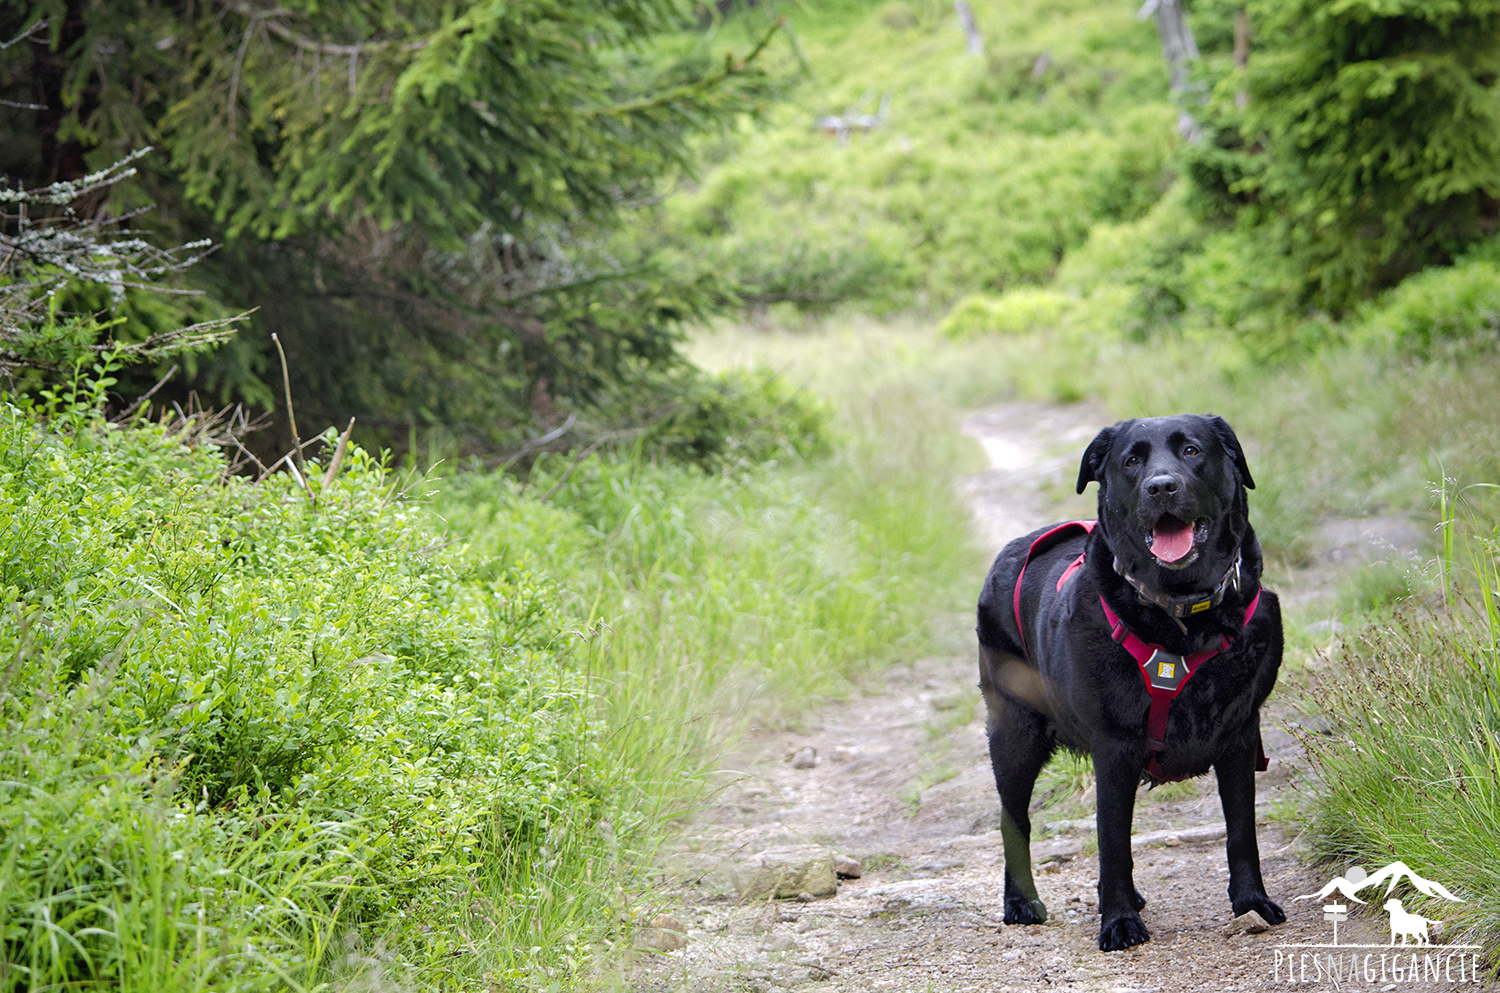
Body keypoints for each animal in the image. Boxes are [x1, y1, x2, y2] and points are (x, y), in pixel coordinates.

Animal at [978, 417, 1284, 954]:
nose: (1162, 486)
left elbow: (1242, 831)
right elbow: (1113, 843)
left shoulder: (1241, 734)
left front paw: (1252, 903)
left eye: (1191, 451)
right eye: (1132, 461)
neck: (1182, 616)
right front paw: (1118, 921)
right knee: (1013, 819)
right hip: (1013, 734)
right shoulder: (1115, 749)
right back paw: (1021, 902)